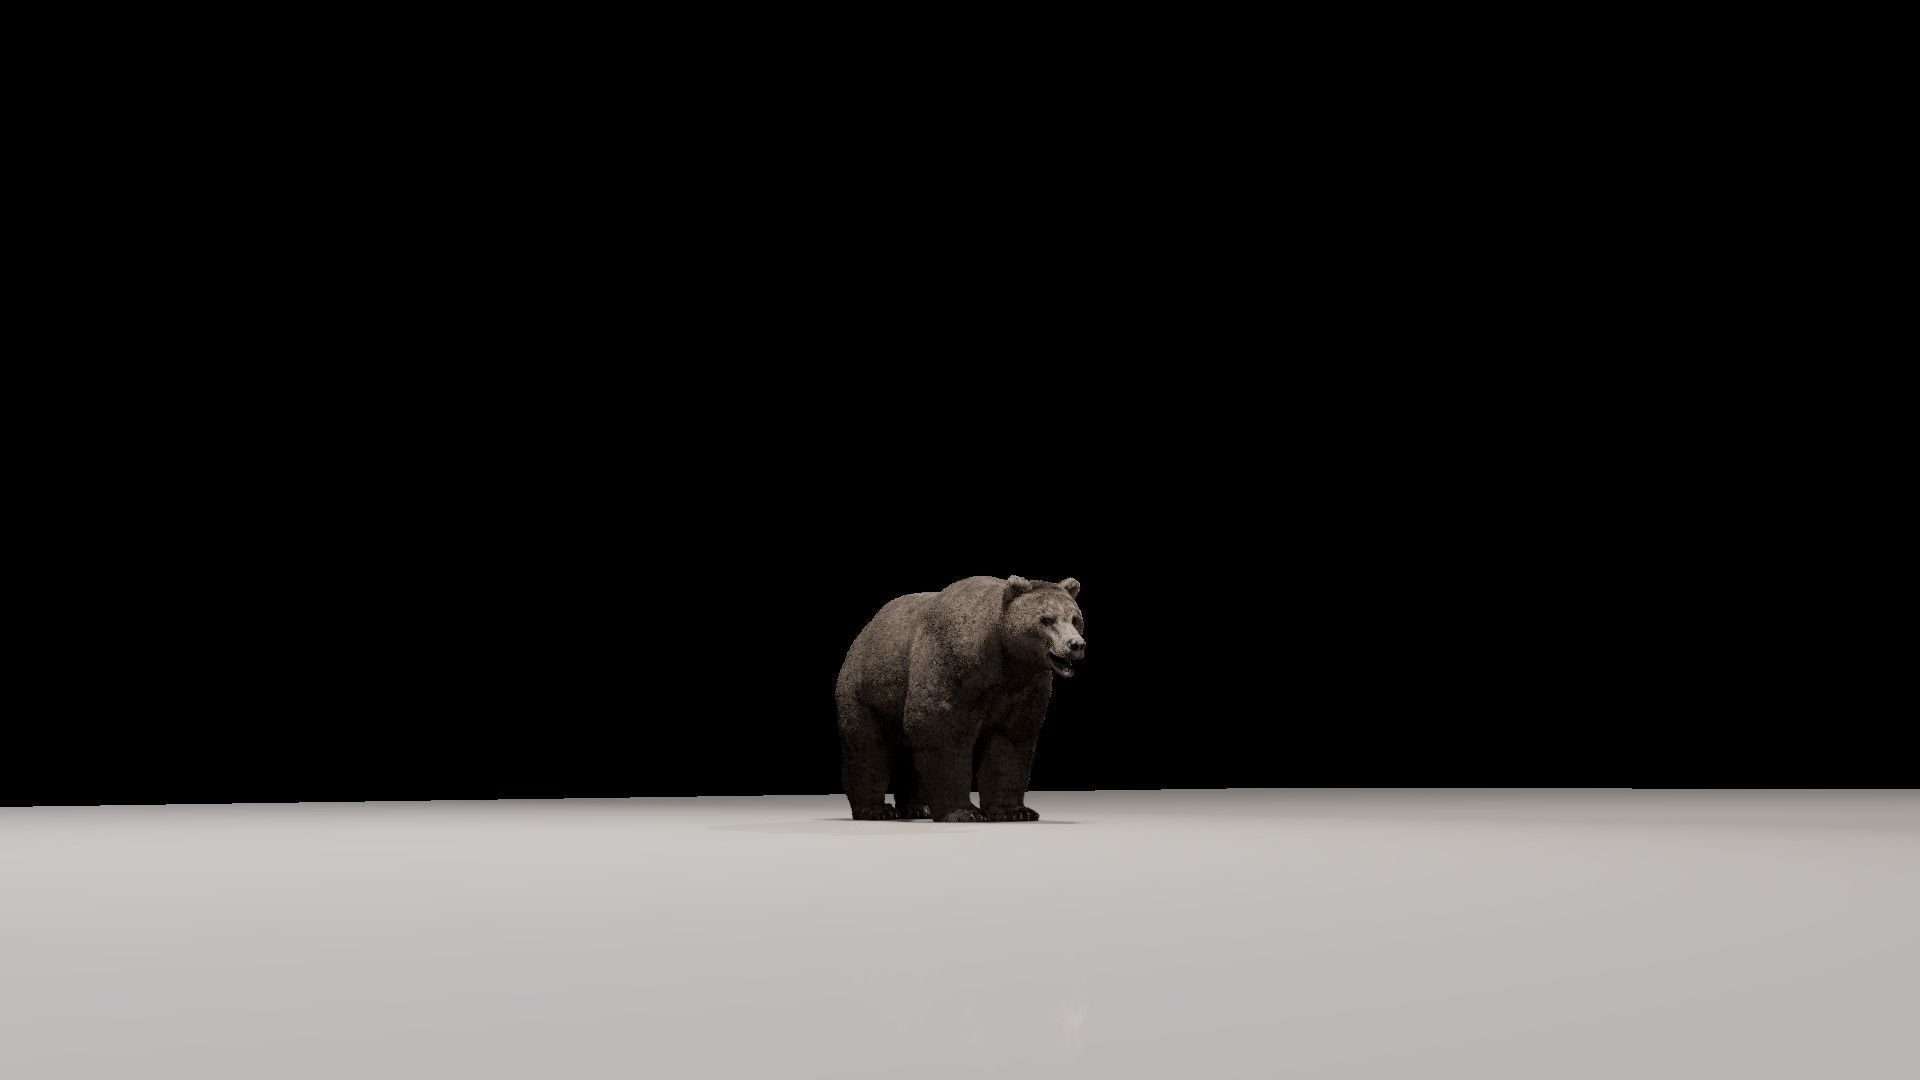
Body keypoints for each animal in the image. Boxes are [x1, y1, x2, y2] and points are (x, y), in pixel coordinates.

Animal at [836, 575, 1085, 823]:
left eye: (1075, 619)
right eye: (1047, 619)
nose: (1076, 644)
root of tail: (865, 632)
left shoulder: (1026, 687)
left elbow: (1010, 742)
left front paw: (1015, 811)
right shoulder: (951, 665)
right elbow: (940, 729)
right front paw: (965, 811)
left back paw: (919, 808)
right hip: (866, 690)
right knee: (867, 747)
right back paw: (876, 810)